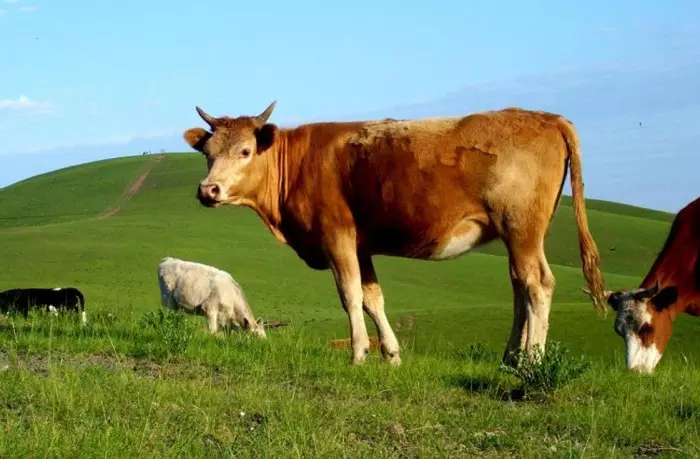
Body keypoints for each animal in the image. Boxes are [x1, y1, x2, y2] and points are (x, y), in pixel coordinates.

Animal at [186, 101, 608, 366]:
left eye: (244, 151)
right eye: (208, 153)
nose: (208, 190)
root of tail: (546, 117)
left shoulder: (336, 235)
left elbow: (351, 296)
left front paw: (358, 354)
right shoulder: (361, 246)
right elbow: (374, 298)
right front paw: (391, 354)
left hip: (521, 228)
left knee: (537, 286)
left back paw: (531, 361)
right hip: (516, 236)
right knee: (520, 288)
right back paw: (511, 357)